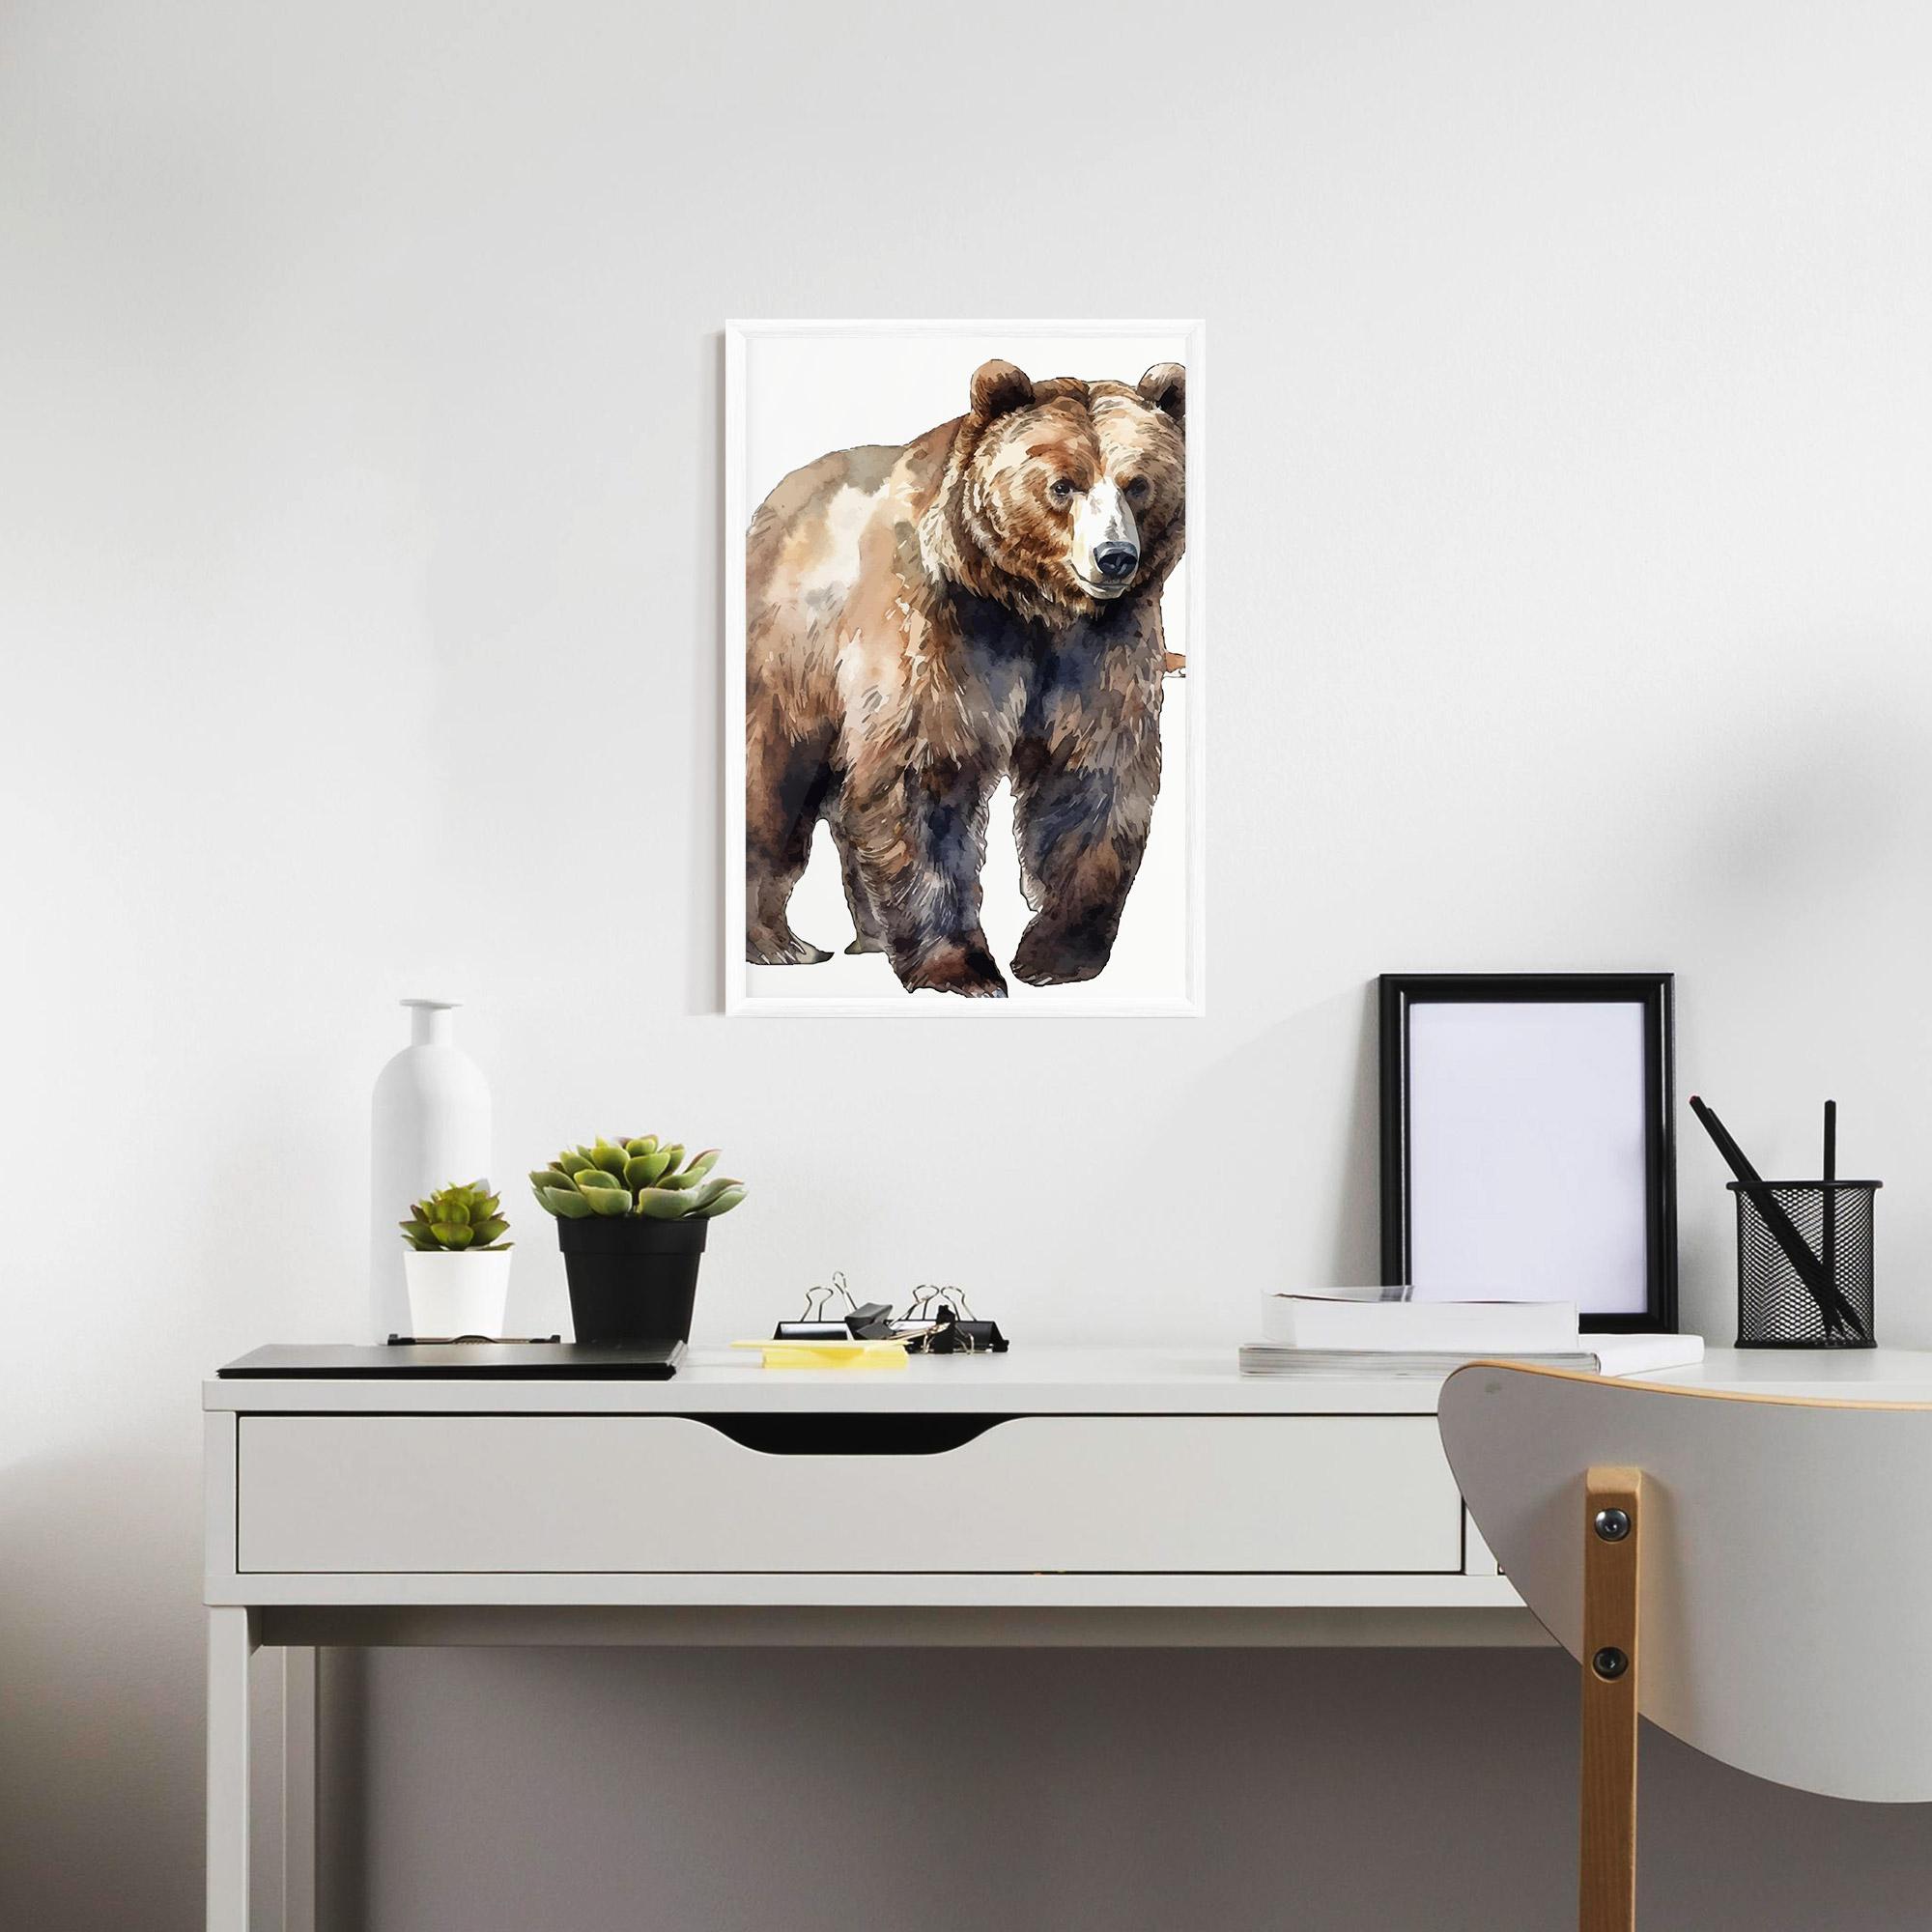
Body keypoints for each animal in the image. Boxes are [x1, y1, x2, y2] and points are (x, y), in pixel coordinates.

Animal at [744, 357, 1186, 998]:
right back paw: (780, 943)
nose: (1114, 557)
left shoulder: (1101, 648)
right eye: (1063, 484)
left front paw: (1056, 955)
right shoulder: (942, 627)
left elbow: (1090, 777)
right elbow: (926, 775)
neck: (1033, 604)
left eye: (1137, 483)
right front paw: (961, 969)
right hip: (791, 658)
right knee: (775, 780)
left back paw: (870, 936)